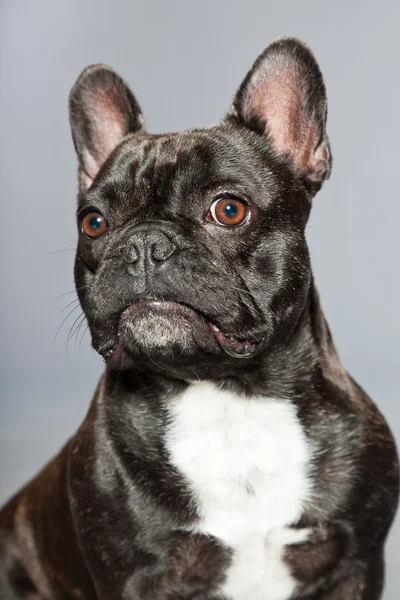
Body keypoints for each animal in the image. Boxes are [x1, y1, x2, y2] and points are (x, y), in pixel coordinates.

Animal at [0, 37, 400, 600]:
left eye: (229, 210)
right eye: (93, 223)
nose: (144, 244)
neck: (228, 397)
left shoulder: (358, 563)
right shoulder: (134, 578)